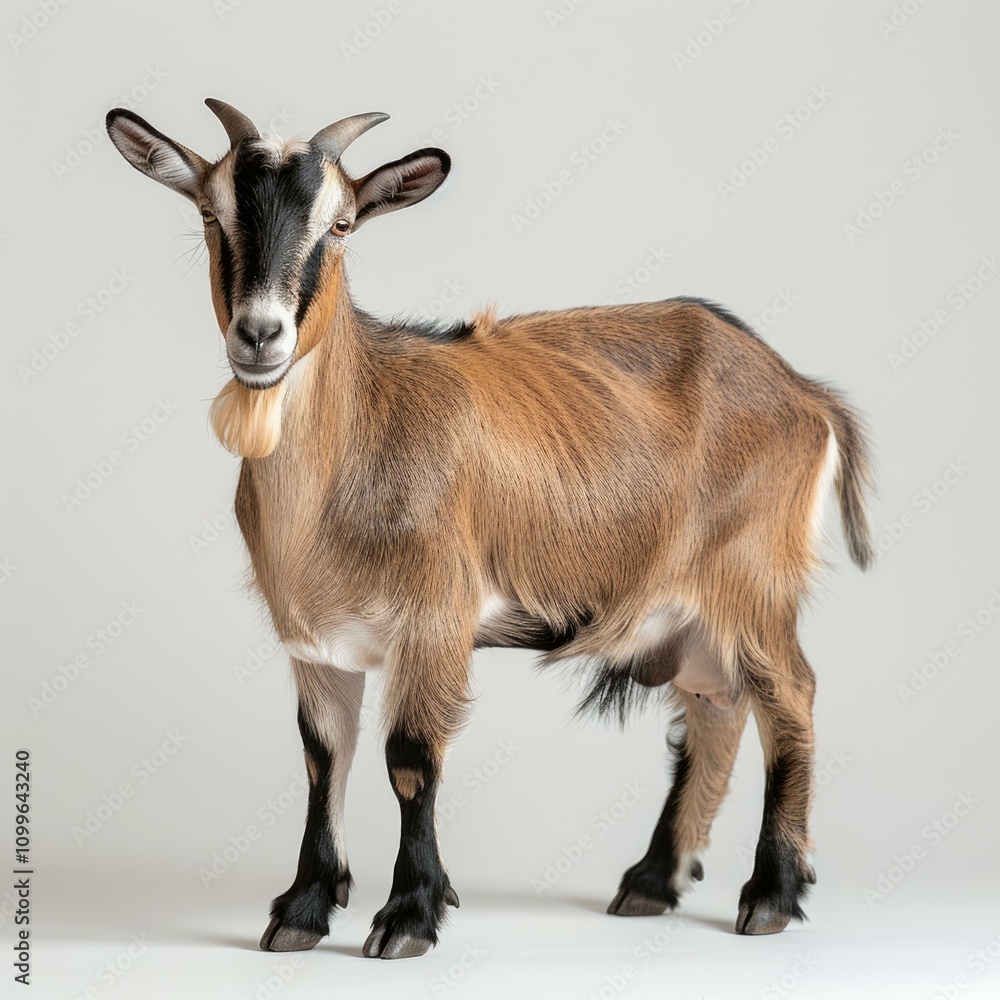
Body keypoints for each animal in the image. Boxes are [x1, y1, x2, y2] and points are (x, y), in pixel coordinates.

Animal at [106, 99, 874, 960]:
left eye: (341, 225)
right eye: (210, 212)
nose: (260, 335)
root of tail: (804, 393)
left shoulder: (434, 618)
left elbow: (409, 760)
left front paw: (407, 915)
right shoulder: (315, 642)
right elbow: (321, 759)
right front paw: (301, 910)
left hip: (754, 576)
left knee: (789, 695)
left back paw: (770, 894)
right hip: (692, 608)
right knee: (717, 706)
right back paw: (651, 881)